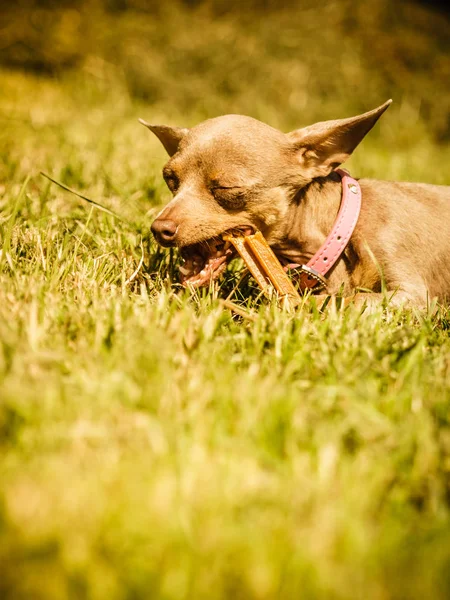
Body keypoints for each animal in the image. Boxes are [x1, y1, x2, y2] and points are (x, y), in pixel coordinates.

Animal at [142, 101, 450, 308]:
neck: (340, 232)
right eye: (170, 179)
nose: (160, 228)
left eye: (227, 189)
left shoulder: (411, 295)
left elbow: (346, 301)